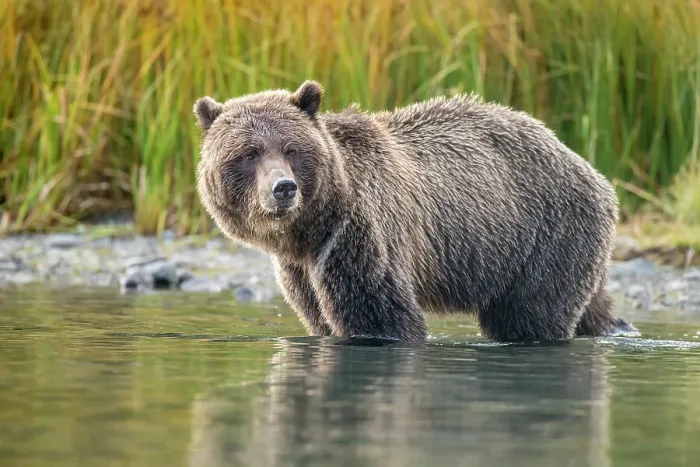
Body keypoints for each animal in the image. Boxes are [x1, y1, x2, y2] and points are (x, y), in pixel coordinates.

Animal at [192, 80, 639, 343]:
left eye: (291, 149)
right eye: (249, 154)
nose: (283, 188)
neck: (310, 229)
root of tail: (589, 169)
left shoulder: (362, 234)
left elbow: (380, 316)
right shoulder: (301, 269)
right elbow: (319, 316)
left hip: (545, 232)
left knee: (529, 314)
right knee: (590, 302)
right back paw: (614, 325)